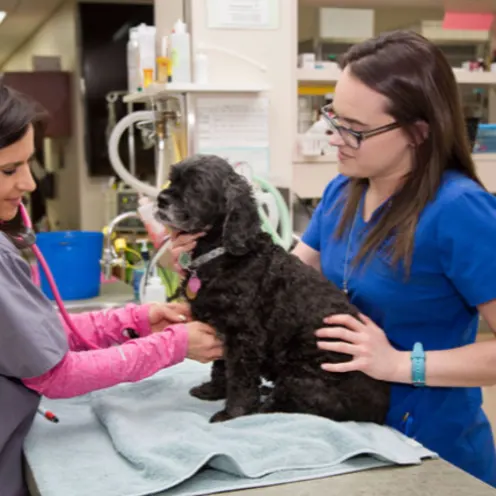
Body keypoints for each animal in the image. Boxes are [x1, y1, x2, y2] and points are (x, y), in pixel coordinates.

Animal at [157, 154, 390, 422]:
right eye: (172, 179)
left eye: (196, 185)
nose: (161, 199)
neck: (222, 253)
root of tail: (381, 410)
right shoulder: (222, 329)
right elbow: (221, 366)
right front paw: (214, 390)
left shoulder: (243, 335)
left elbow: (239, 378)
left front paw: (233, 412)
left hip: (304, 373)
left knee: (288, 404)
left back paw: (262, 401)